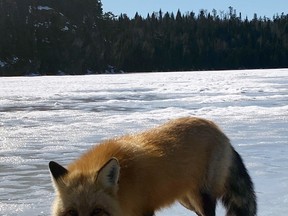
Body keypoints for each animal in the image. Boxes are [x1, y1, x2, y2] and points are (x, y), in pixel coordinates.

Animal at [49, 117, 256, 215]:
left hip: (202, 198)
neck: (125, 185)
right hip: (188, 200)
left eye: (97, 211)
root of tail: (220, 131)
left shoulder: (145, 210)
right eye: (71, 212)